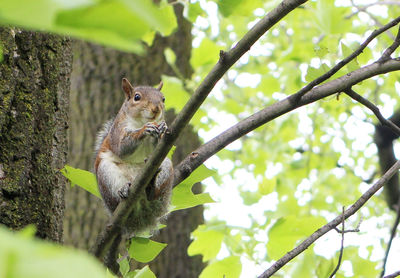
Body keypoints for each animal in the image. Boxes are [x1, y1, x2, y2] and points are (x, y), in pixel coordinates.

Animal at [96, 77, 174, 235]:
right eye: (136, 97)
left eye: (163, 98)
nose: (156, 109)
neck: (140, 121)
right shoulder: (117, 132)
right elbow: (122, 148)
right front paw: (144, 130)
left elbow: (157, 149)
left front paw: (162, 128)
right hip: (106, 174)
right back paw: (123, 191)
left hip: (166, 170)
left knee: (154, 195)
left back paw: (151, 187)